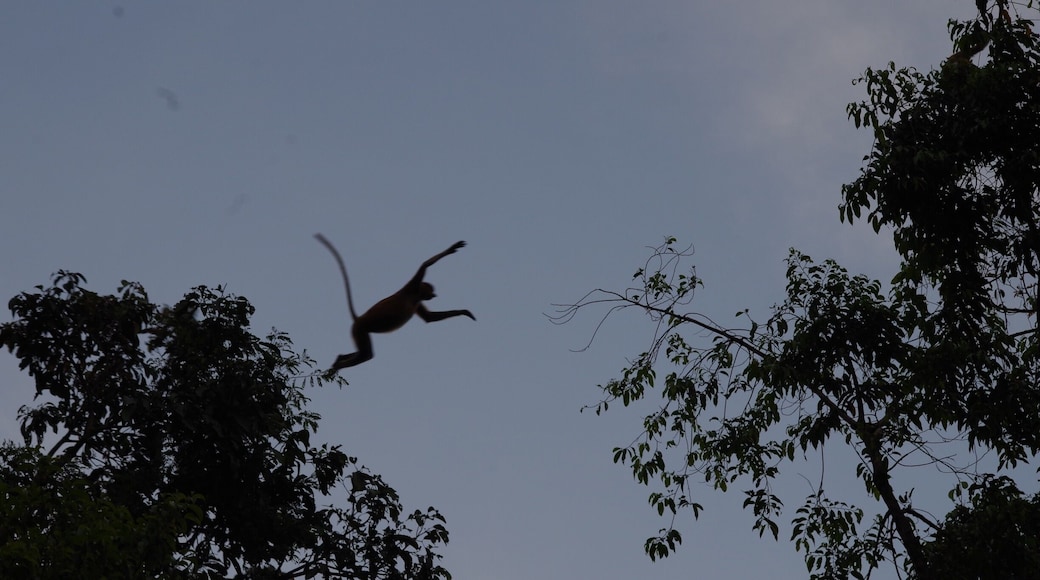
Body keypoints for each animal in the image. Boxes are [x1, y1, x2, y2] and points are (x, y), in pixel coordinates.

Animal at [314, 234, 475, 370]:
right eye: (431, 291)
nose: (435, 295)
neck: (415, 295)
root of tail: (358, 318)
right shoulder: (411, 286)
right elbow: (425, 265)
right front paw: (451, 248)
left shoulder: (417, 301)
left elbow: (430, 318)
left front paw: (463, 312)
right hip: (360, 328)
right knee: (366, 354)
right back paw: (337, 366)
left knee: (361, 352)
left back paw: (339, 359)